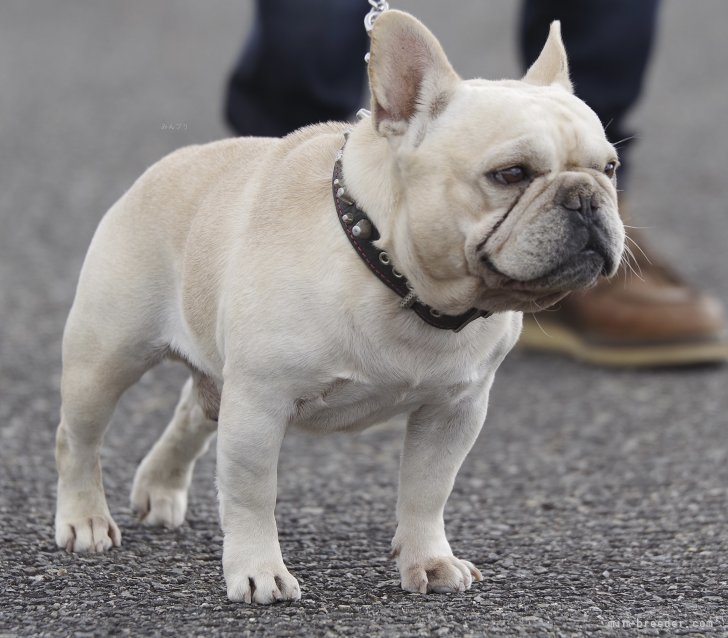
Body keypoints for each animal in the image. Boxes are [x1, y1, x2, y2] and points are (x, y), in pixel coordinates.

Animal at [55, 12, 624, 608]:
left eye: (610, 167)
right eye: (510, 174)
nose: (586, 197)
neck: (393, 275)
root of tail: (167, 166)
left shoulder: (455, 409)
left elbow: (428, 490)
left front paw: (429, 560)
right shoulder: (258, 404)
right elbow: (251, 494)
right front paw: (257, 570)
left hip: (215, 374)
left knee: (191, 411)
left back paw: (160, 487)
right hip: (107, 356)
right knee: (78, 438)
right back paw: (85, 521)